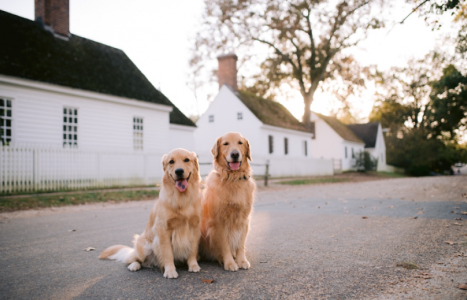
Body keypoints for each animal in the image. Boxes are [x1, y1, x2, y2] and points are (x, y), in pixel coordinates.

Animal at [99, 148, 202, 278]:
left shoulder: (195, 228)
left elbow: (192, 250)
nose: (179, 171)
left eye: (186, 160)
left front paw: (193, 265)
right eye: (171, 161)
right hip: (144, 247)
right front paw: (170, 271)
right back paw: (134, 265)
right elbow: (167, 253)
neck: (182, 198)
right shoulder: (163, 230)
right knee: (135, 259)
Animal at [198, 132, 256, 270]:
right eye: (225, 144)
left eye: (240, 143)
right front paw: (229, 263)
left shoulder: (244, 220)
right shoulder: (218, 222)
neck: (233, 178)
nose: (235, 154)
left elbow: (240, 244)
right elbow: (225, 245)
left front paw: (241, 261)